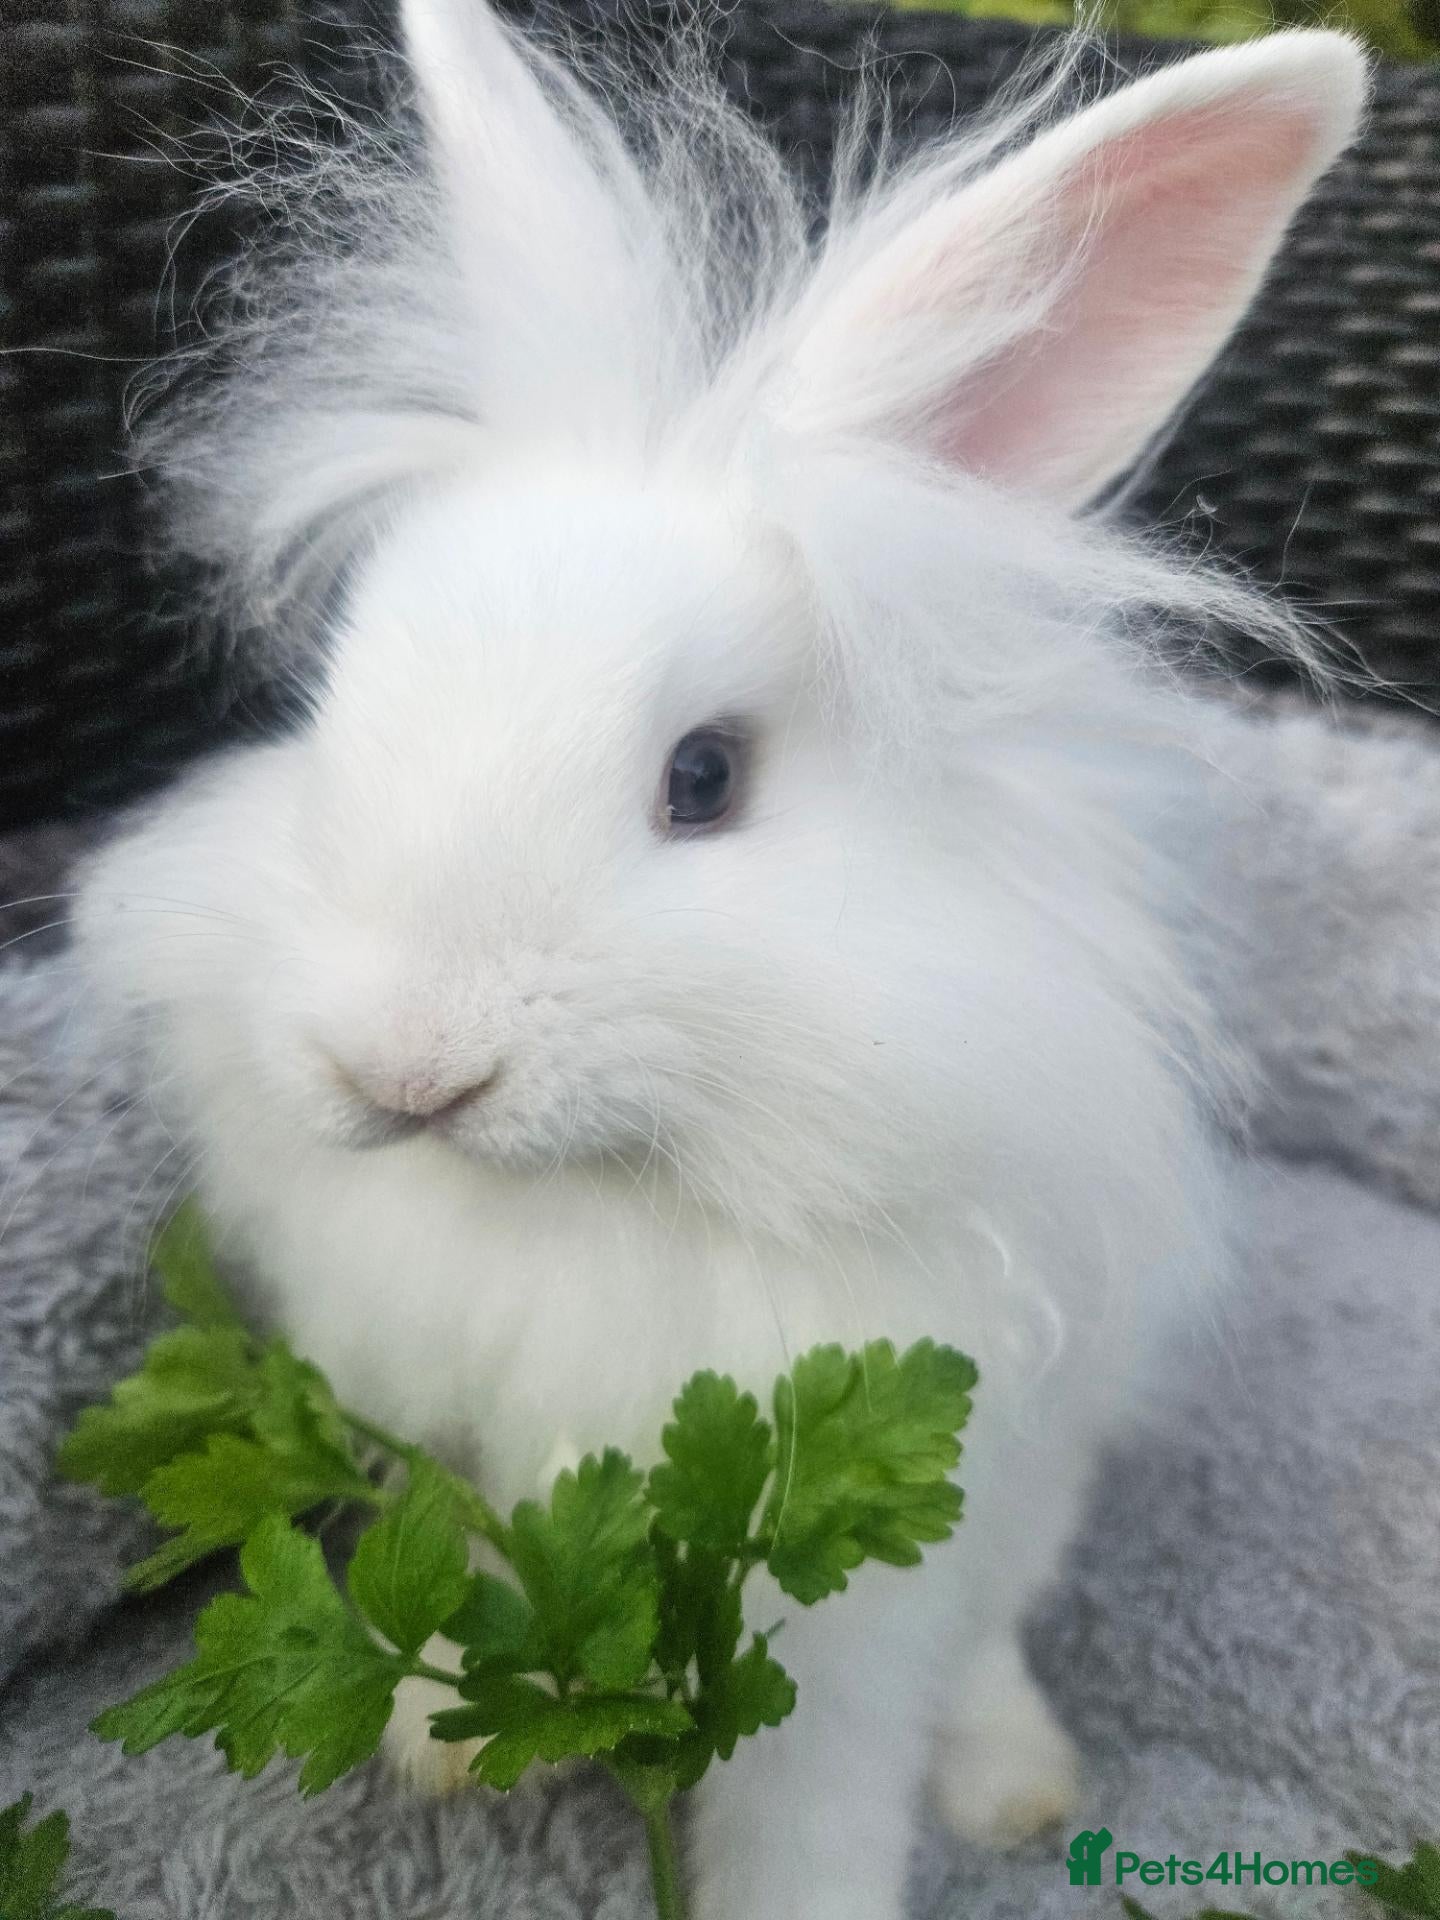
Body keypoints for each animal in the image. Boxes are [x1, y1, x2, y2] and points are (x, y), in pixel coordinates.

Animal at [76, 6, 1367, 1916]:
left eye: (704, 779)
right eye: (332, 704)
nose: (401, 1065)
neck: (609, 1200)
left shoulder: (868, 1600)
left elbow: (817, 1790)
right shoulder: (443, 1431)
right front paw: (433, 1739)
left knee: (996, 1651)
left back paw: (1017, 1789)